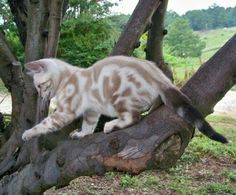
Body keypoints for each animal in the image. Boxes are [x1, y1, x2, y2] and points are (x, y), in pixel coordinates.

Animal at [21, 55, 227, 143]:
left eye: (39, 86)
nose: (41, 96)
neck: (66, 77)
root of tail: (158, 76)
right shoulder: (91, 111)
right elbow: (88, 126)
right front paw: (81, 134)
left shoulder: (65, 111)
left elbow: (44, 124)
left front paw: (27, 134)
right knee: (152, 105)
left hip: (119, 99)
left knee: (133, 117)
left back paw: (111, 126)